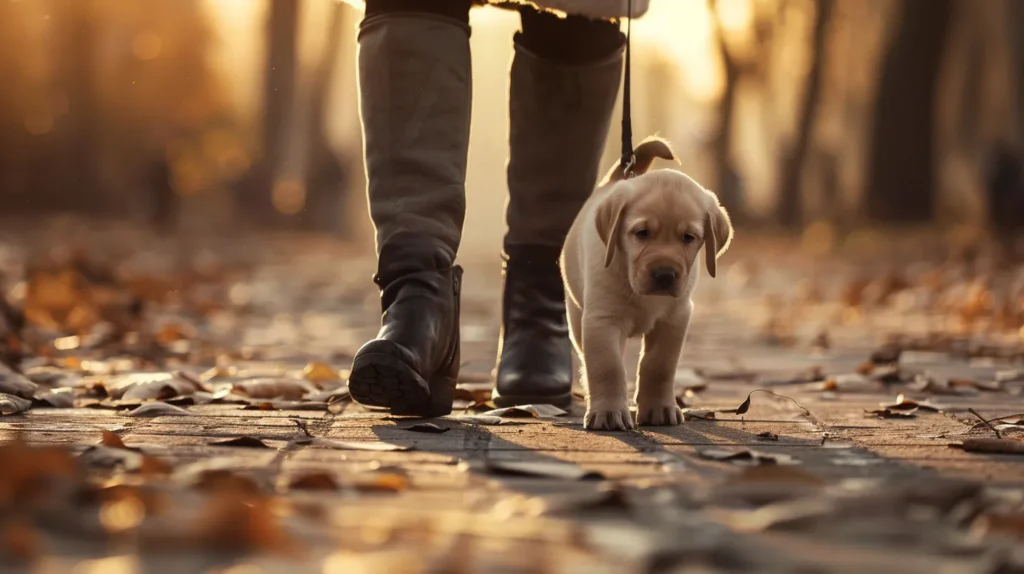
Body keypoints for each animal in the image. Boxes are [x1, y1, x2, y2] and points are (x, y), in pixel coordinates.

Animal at [561, 139, 737, 429]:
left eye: (688, 237)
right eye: (641, 233)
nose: (665, 274)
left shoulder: (674, 319)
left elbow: (659, 365)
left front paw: (659, 408)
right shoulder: (601, 319)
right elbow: (607, 366)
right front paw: (609, 412)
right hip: (577, 316)